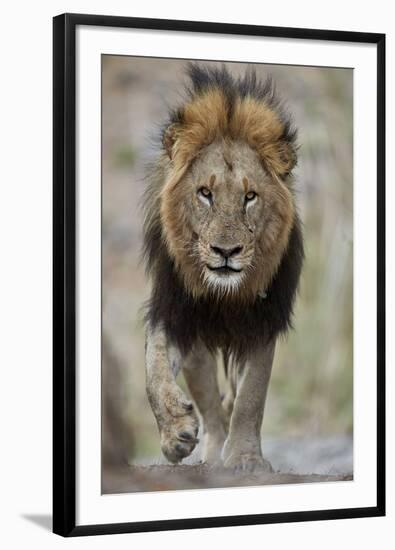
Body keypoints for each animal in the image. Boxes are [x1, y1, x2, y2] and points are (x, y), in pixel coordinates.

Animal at [144, 62, 304, 472]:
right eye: (205, 193)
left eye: (250, 196)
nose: (226, 251)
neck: (224, 294)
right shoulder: (175, 310)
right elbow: (154, 369)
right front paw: (175, 432)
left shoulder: (263, 318)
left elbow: (251, 396)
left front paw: (246, 458)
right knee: (212, 410)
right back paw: (212, 453)